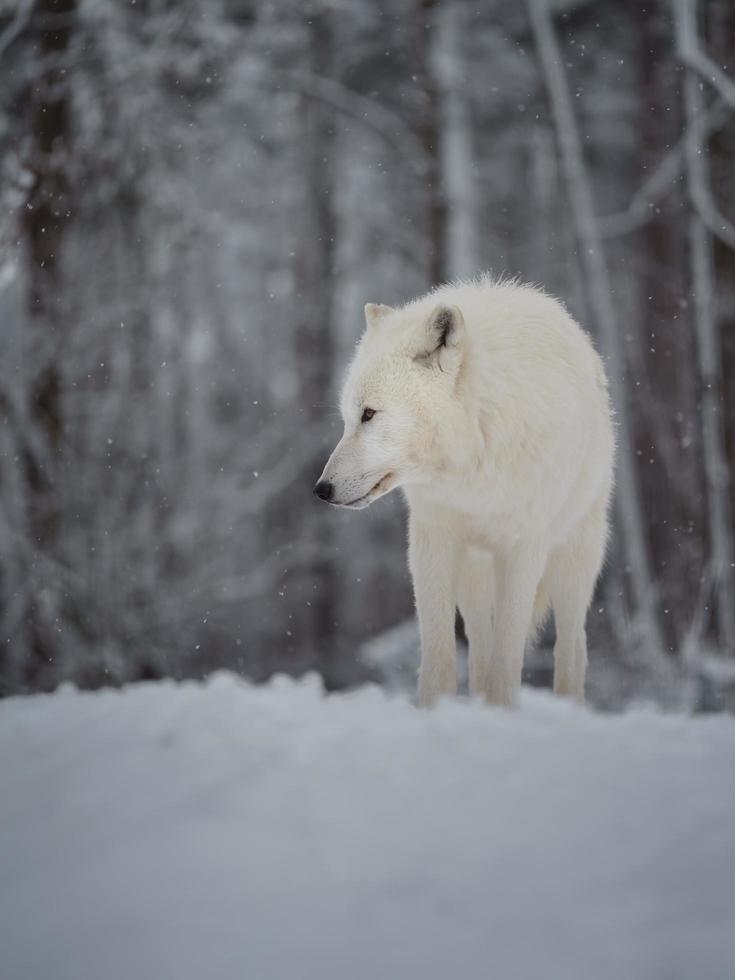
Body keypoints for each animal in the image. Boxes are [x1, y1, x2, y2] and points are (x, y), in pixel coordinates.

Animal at [316, 280, 616, 708]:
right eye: (347, 418)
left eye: (369, 414)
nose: (321, 489)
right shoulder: (432, 543)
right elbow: (440, 658)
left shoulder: (524, 549)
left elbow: (508, 663)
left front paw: (501, 711)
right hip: (474, 577)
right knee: (479, 647)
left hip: (574, 560)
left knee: (571, 648)